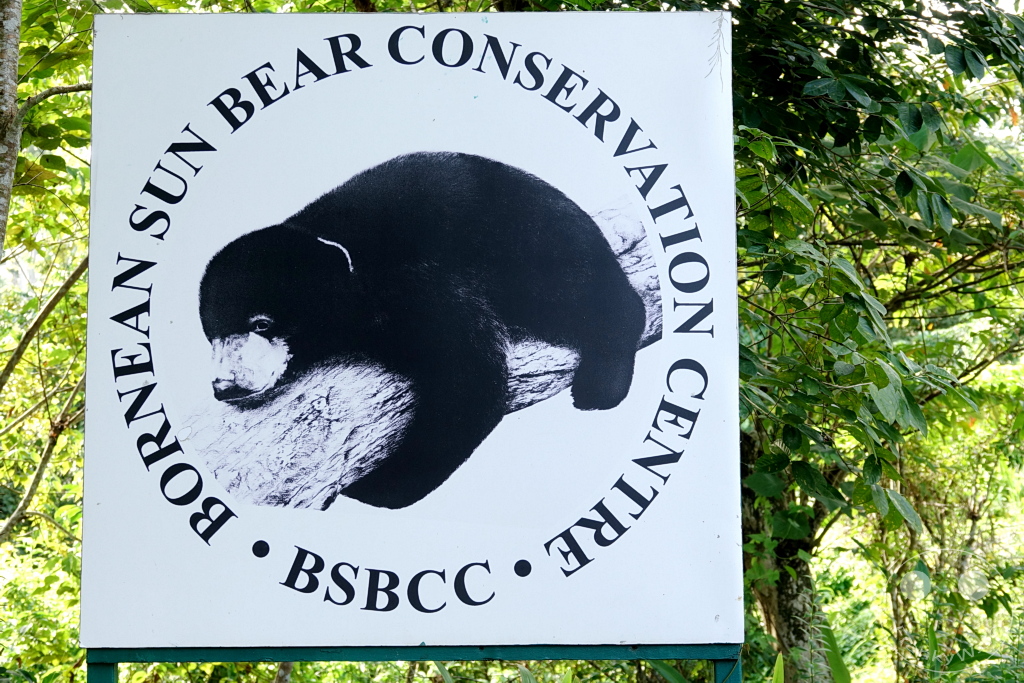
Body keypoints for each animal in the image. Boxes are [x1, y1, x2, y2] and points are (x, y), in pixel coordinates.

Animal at [198, 151, 647, 509]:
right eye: (211, 334)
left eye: (262, 323)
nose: (225, 386)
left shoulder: (415, 288)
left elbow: (469, 376)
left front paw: (376, 487)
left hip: (532, 247)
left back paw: (600, 387)